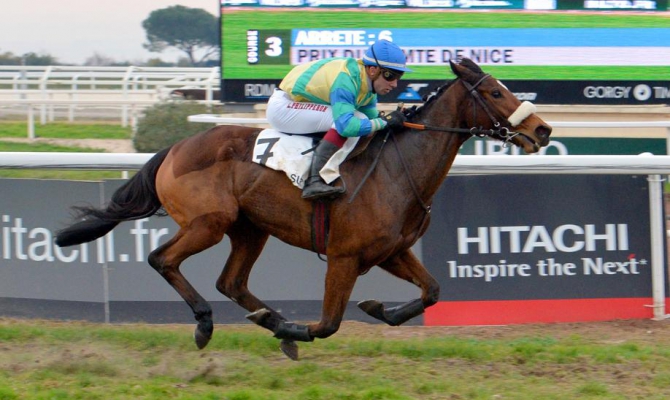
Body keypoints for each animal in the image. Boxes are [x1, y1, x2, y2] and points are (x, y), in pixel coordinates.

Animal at [56, 58, 552, 360]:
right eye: (495, 93)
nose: (543, 130)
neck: (397, 169)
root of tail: (175, 147)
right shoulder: (344, 256)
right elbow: (329, 323)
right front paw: (299, 332)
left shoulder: (391, 251)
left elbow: (432, 291)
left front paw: (377, 308)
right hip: (208, 222)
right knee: (163, 259)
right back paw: (206, 323)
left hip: (250, 229)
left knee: (231, 282)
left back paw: (269, 317)